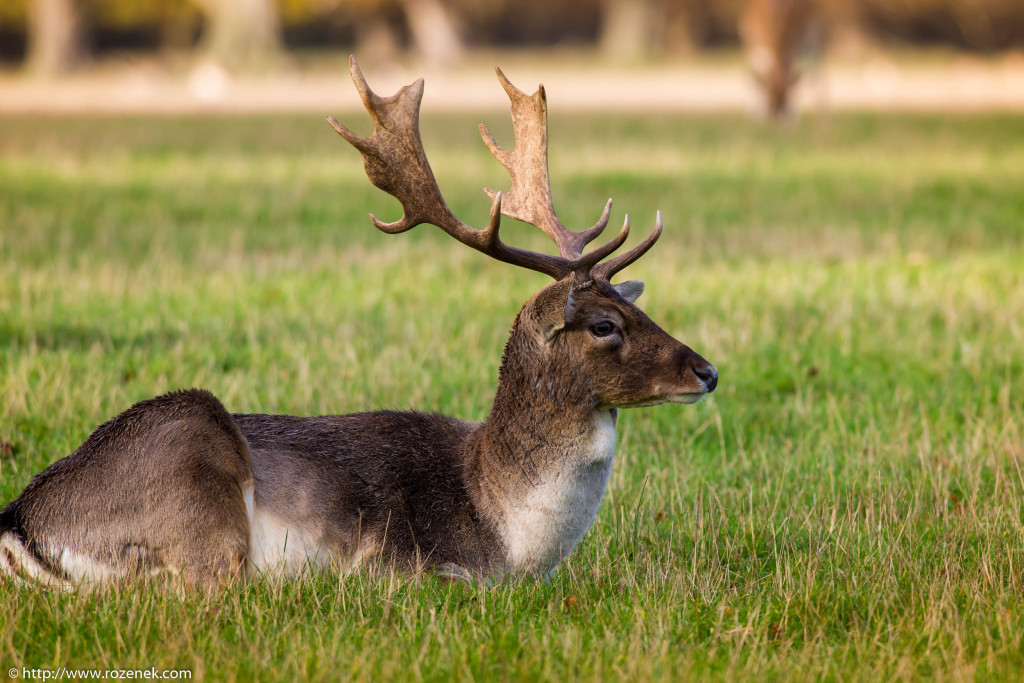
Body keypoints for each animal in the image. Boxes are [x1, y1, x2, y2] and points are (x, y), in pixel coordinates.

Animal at [0, 58, 720, 589]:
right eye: (603, 324)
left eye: (637, 306)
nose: (708, 370)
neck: (509, 534)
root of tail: (22, 522)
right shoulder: (397, 554)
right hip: (197, 471)